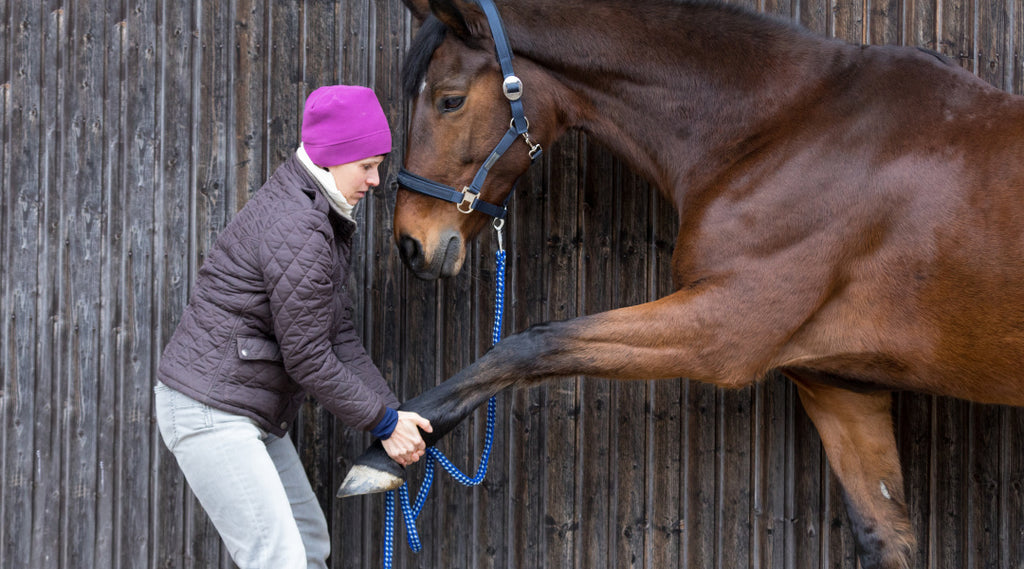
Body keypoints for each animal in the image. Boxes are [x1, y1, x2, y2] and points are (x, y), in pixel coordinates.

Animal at [339, 2, 1024, 564]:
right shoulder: (841, 387)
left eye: (449, 99)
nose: (412, 244)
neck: (785, 129)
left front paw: (385, 452)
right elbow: (886, 536)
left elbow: (531, 344)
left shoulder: (722, 332)